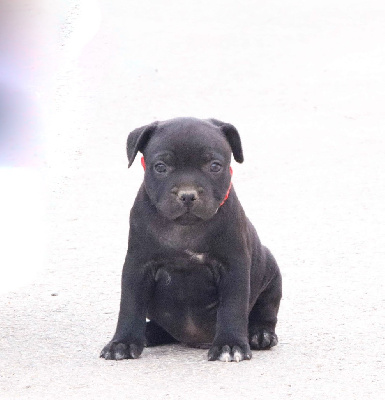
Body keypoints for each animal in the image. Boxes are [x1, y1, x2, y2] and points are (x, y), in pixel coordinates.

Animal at [100, 116, 280, 362]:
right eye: (161, 167)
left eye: (214, 166)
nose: (187, 195)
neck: (185, 230)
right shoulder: (137, 267)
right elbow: (130, 305)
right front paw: (123, 343)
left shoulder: (233, 268)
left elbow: (232, 307)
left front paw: (230, 344)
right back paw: (148, 332)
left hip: (271, 270)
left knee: (267, 309)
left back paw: (260, 334)